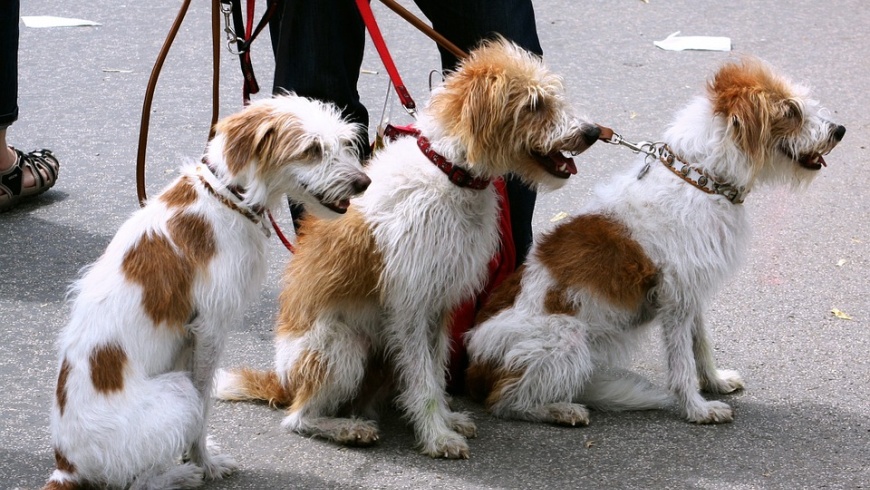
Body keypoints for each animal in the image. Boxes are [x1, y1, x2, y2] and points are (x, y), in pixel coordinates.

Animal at [44, 95, 372, 490]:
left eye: (344, 143)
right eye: (312, 150)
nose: (364, 182)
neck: (227, 197)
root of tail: (66, 466)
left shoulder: (193, 338)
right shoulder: (210, 330)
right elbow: (203, 406)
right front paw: (204, 461)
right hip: (175, 392)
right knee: (139, 482)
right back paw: (181, 473)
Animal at [215, 39, 604, 460]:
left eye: (554, 95)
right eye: (534, 104)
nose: (592, 132)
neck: (449, 172)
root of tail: (283, 380)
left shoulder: (441, 305)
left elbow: (434, 370)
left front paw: (447, 421)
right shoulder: (411, 307)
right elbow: (423, 379)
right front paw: (437, 436)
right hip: (342, 346)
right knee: (297, 418)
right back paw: (348, 429)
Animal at [466, 56, 848, 424]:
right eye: (791, 111)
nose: (839, 130)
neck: (700, 178)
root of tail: (473, 368)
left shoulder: (693, 290)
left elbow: (701, 343)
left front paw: (714, 381)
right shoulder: (676, 299)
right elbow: (681, 362)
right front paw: (696, 409)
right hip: (565, 335)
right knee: (505, 402)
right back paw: (560, 410)